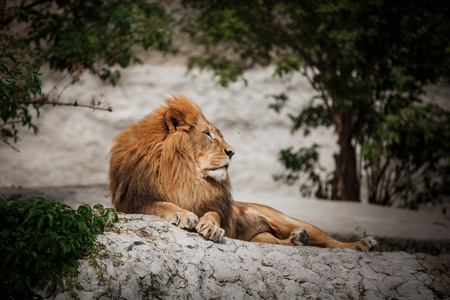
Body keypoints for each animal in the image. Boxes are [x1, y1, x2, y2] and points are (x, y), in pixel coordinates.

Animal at [110, 95, 376, 252]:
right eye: (207, 134)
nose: (232, 152)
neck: (186, 174)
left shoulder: (212, 203)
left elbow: (213, 214)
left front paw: (210, 227)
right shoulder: (132, 201)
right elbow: (160, 204)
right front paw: (183, 214)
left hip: (286, 220)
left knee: (331, 242)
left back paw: (362, 243)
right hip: (261, 238)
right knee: (282, 242)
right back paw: (298, 240)